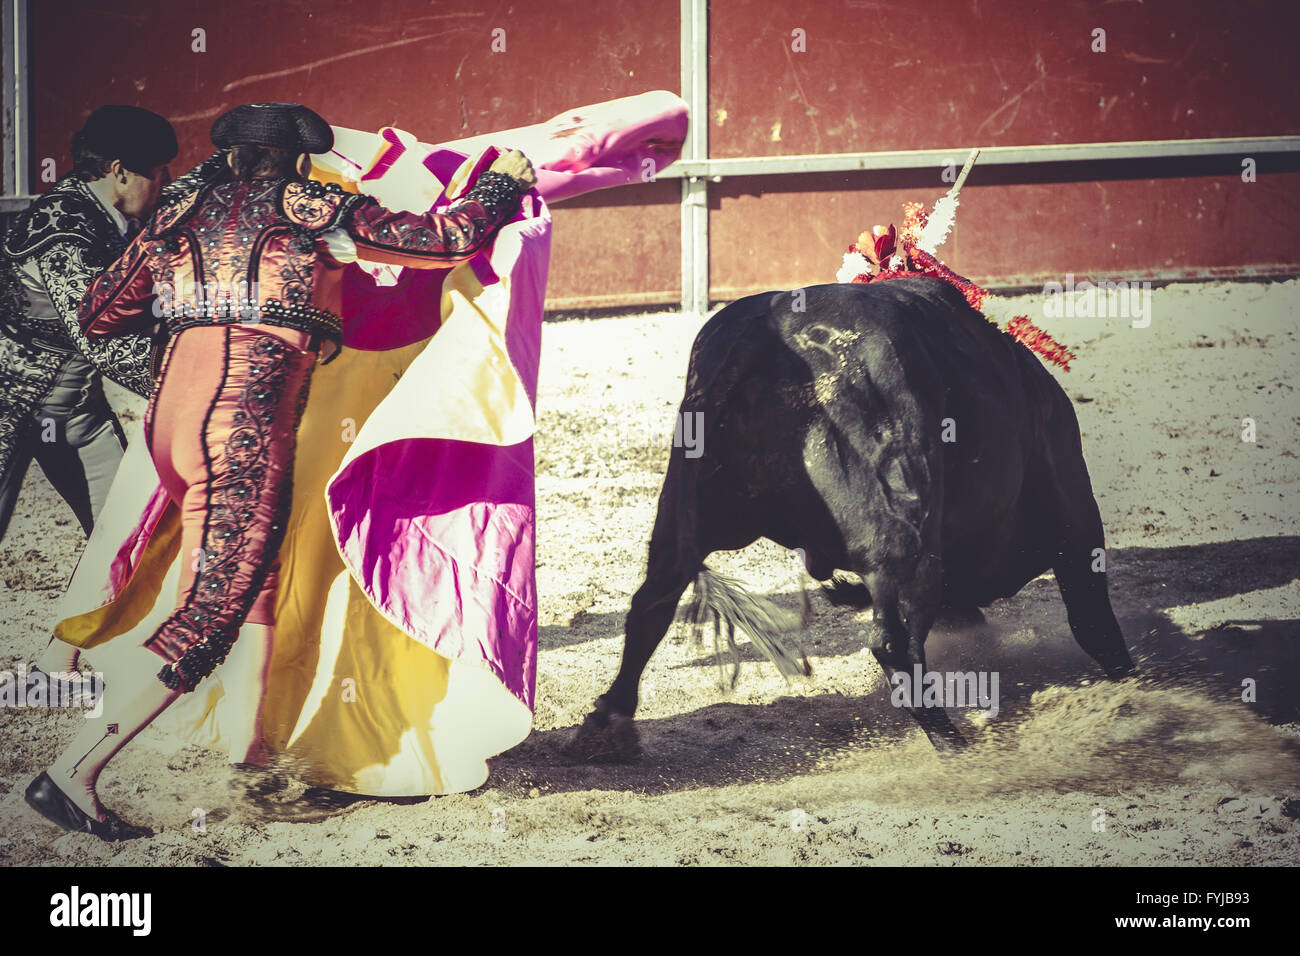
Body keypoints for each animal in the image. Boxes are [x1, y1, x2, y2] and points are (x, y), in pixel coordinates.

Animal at [566, 278, 1128, 764]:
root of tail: (763, 339)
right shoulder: (1072, 511)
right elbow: (1092, 616)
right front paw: (1130, 687)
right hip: (905, 535)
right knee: (894, 642)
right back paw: (956, 747)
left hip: (685, 513)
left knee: (651, 603)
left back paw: (608, 725)